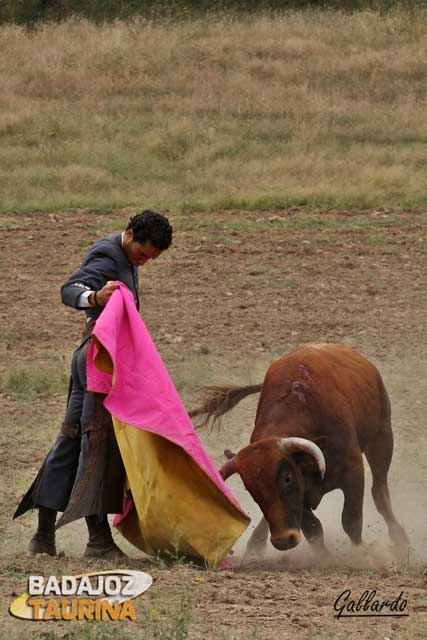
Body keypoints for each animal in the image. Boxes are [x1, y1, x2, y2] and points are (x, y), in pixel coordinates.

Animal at [192, 344, 410, 560]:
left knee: (380, 492)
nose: (283, 541)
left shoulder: (353, 471)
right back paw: (255, 545)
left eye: (287, 478)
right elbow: (313, 530)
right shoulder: (303, 491)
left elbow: (351, 520)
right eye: (250, 489)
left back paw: (401, 540)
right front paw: (326, 559)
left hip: (382, 438)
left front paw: (364, 554)